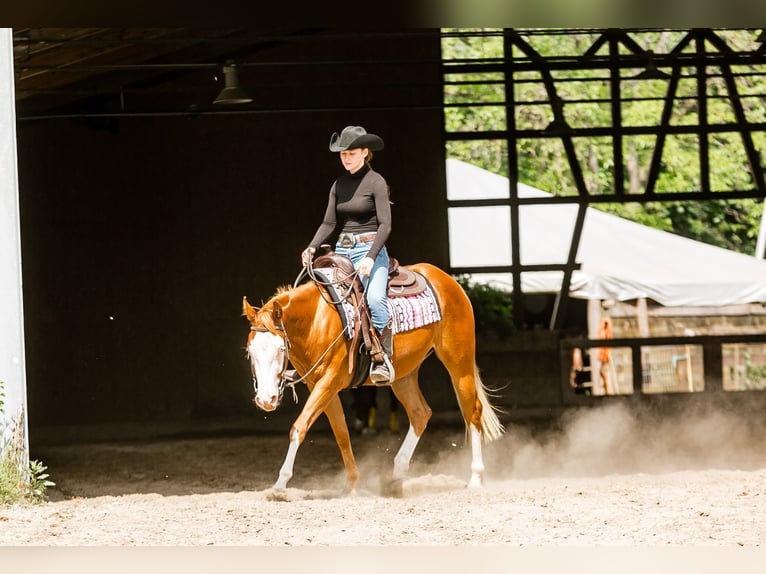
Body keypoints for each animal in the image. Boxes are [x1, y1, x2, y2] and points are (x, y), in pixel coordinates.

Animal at [242, 260, 505, 494]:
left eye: (281, 349)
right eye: (249, 352)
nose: (266, 400)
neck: (317, 319)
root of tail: (447, 280)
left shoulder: (328, 382)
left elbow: (299, 427)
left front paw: (279, 485)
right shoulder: (322, 386)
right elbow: (341, 434)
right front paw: (351, 483)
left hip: (458, 362)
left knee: (472, 411)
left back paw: (475, 478)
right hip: (404, 375)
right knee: (420, 413)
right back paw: (396, 476)